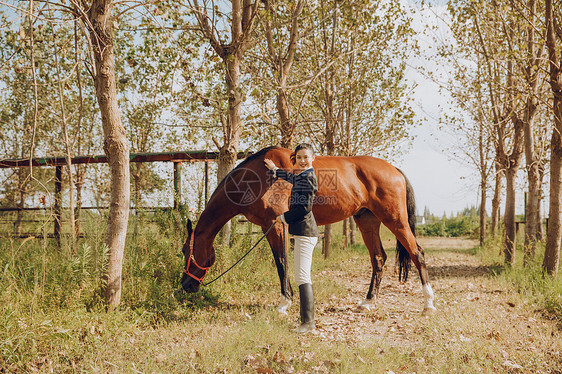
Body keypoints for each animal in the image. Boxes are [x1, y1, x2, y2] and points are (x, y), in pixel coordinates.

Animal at [182, 146, 436, 312]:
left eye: (185, 251)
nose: (186, 285)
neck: (255, 178)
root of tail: (394, 170)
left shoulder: (277, 225)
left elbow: (281, 261)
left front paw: (285, 302)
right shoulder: (273, 227)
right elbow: (284, 262)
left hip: (396, 220)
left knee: (417, 253)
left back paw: (428, 304)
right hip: (367, 221)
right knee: (379, 258)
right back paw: (368, 301)